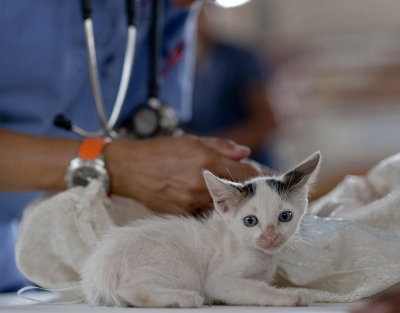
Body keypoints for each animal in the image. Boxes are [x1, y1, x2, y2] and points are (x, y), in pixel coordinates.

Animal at [81, 151, 322, 308]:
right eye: (250, 221)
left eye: (285, 217)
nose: (270, 237)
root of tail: (99, 269)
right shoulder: (219, 280)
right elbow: (256, 290)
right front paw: (293, 296)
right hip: (180, 268)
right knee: (128, 288)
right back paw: (184, 299)